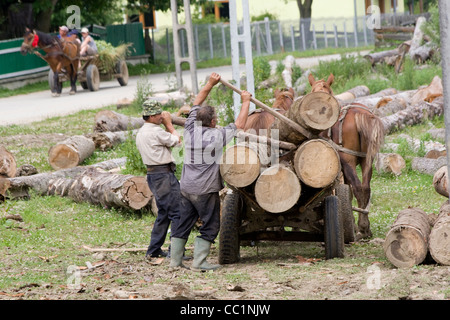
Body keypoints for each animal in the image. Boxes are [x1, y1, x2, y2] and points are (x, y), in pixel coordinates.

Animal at [312, 74, 384, 239]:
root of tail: (358, 113)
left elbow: (346, 191)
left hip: (348, 160)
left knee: (357, 188)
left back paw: (361, 228)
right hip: (366, 160)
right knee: (365, 188)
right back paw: (366, 228)